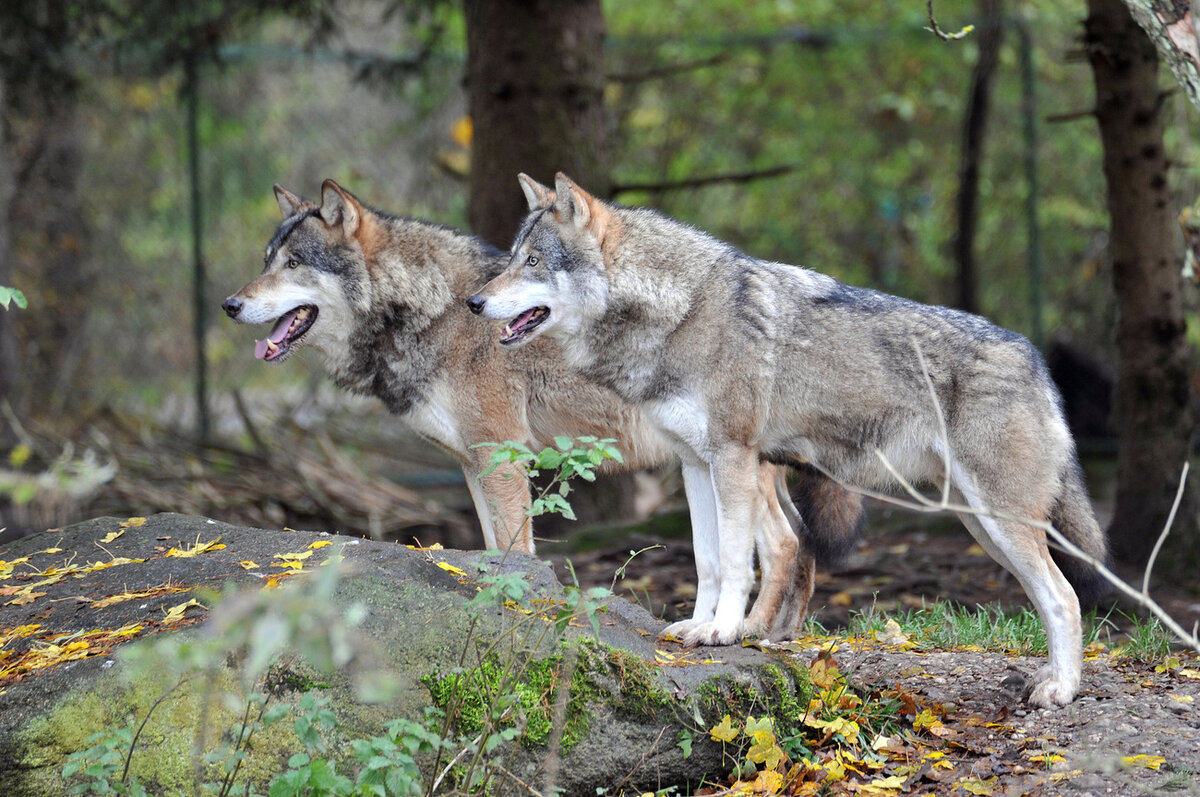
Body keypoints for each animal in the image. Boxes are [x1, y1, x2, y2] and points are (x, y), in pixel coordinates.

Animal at [223, 177, 864, 638]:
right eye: (265, 260)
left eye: (293, 265)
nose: (230, 305)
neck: (434, 311)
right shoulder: (472, 463)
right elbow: (490, 548)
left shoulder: (502, 456)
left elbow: (516, 551)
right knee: (803, 543)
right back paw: (781, 635)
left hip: (738, 468)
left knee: (783, 544)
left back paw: (749, 632)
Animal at [465, 174, 1104, 710]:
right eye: (510, 259)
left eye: (532, 261)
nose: (474, 303)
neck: (677, 312)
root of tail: (1036, 359)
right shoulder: (694, 464)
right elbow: (706, 560)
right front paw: (699, 626)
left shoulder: (732, 456)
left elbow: (734, 559)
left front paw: (724, 631)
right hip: (982, 525)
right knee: (1051, 596)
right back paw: (1048, 679)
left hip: (1000, 521)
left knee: (1065, 597)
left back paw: (1061, 690)